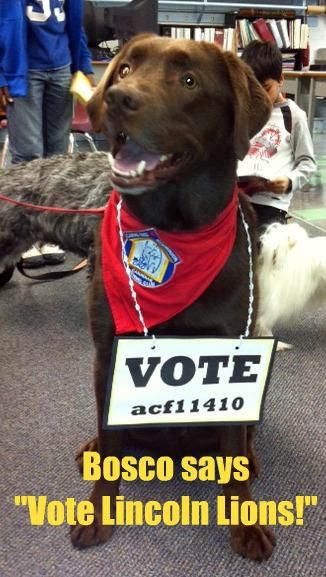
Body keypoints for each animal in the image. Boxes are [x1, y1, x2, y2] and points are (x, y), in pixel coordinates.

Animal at [71, 35, 272, 560]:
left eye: (189, 81)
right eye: (123, 70)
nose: (118, 99)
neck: (172, 231)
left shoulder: (231, 355)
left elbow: (232, 455)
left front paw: (245, 523)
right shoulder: (108, 352)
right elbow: (110, 441)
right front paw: (98, 513)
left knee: (244, 434)